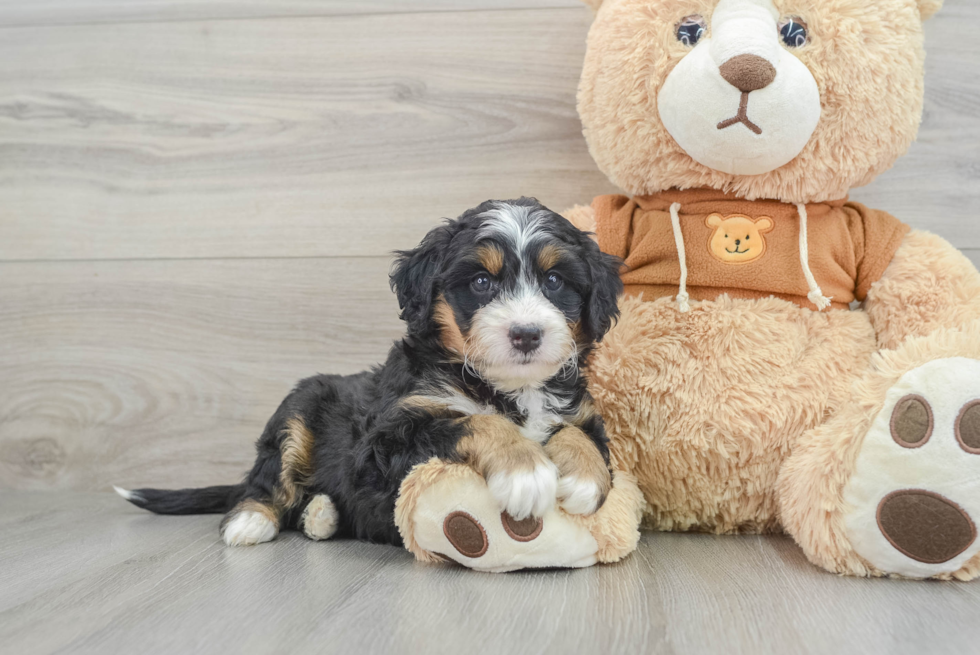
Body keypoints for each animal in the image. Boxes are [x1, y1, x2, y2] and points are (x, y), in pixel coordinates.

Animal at [115, 199, 620, 548]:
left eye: (554, 281)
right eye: (481, 283)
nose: (526, 334)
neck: (507, 387)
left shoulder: (580, 411)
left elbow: (578, 433)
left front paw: (584, 480)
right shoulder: (386, 446)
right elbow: (474, 421)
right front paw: (524, 470)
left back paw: (321, 515)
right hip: (299, 406)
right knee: (267, 478)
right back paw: (251, 520)